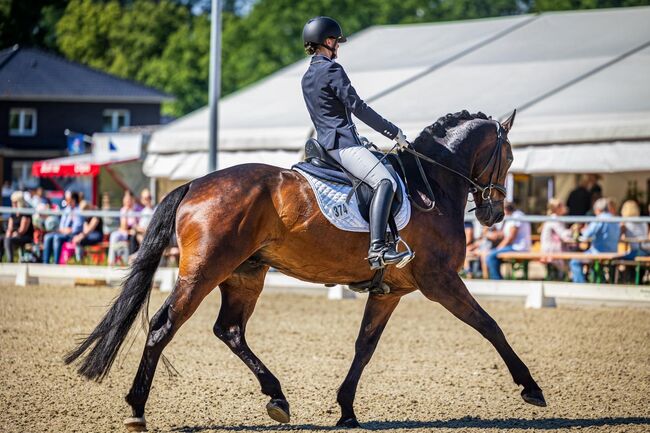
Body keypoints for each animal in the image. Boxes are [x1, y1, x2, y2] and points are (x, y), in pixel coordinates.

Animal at [66, 110, 544, 428]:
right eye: (509, 157)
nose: (494, 215)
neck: (432, 185)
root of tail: (194, 184)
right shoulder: (440, 281)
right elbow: (490, 325)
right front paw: (530, 388)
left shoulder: (389, 291)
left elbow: (364, 346)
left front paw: (346, 410)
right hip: (203, 272)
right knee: (165, 326)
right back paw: (136, 409)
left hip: (245, 274)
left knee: (230, 330)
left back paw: (278, 398)